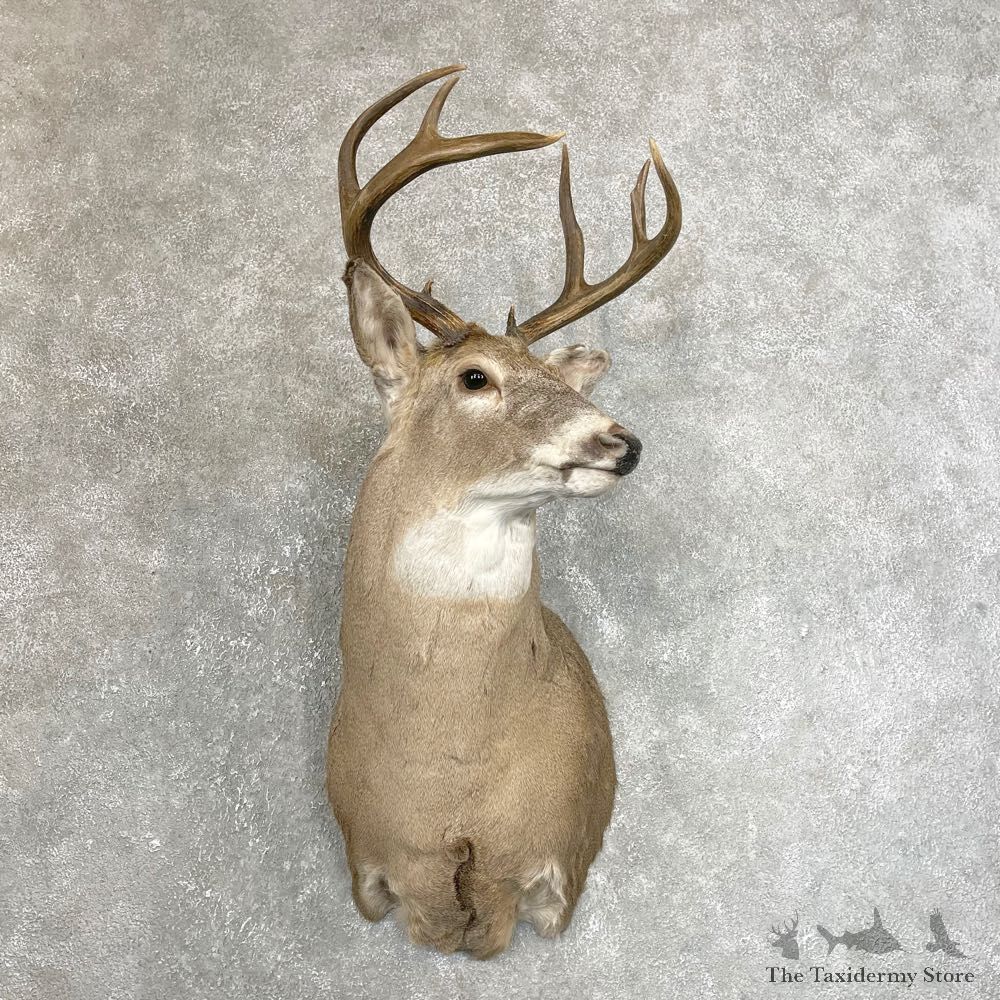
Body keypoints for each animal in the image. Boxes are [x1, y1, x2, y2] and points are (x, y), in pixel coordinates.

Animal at [326, 64, 681, 959]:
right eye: (475, 377)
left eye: (556, 377)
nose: (621, 442)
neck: (451, 772)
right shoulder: (370, 862)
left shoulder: (557, 861)